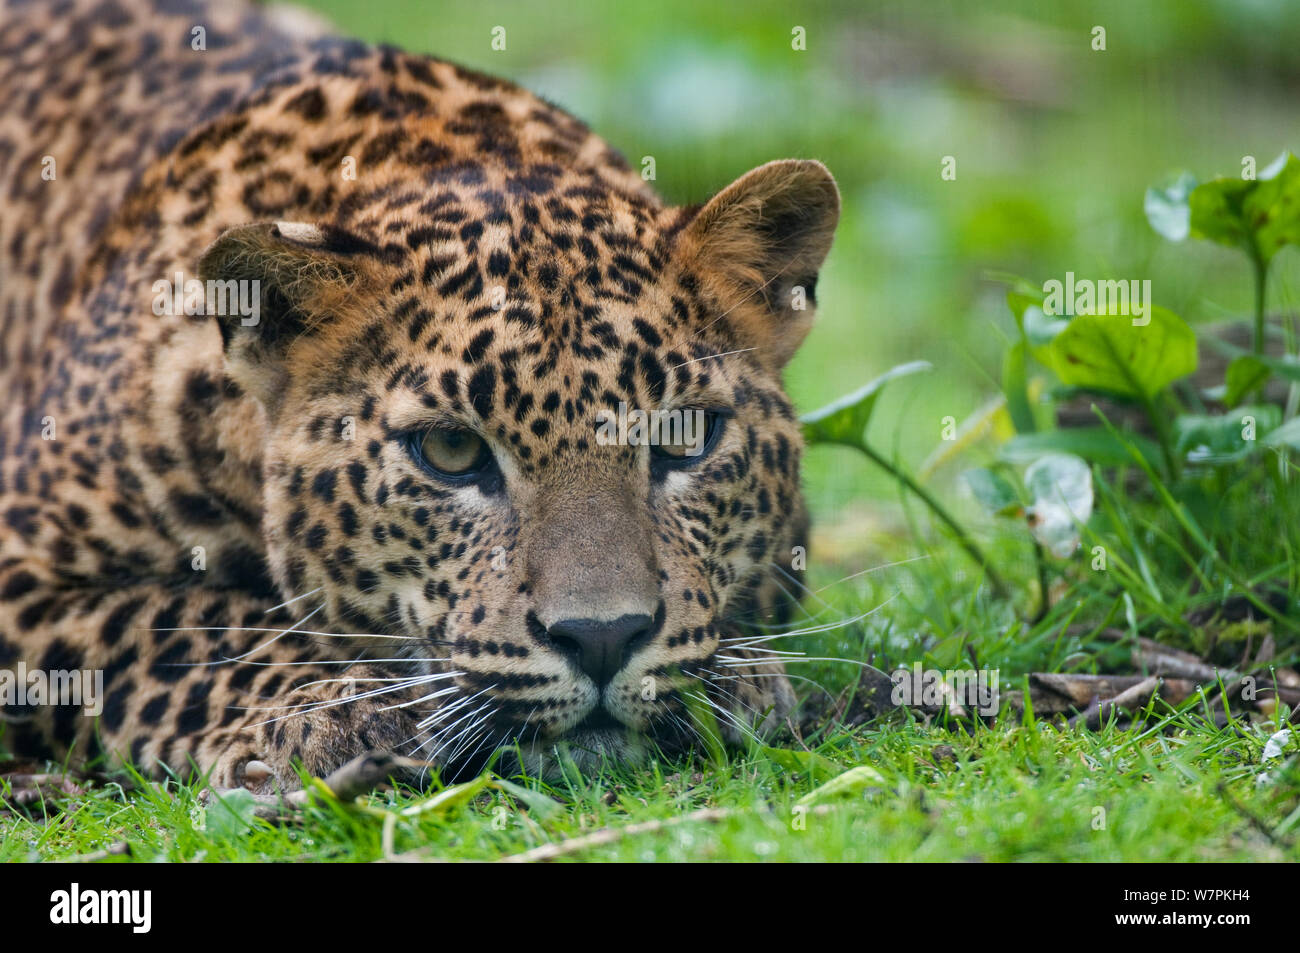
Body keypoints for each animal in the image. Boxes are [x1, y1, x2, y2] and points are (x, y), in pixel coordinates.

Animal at [0, 0, 842, 790]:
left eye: (686, 435)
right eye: (451, 450)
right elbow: (185, 623)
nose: (602, 637)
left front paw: (738, 676)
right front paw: (331, 711)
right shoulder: (26, 565)